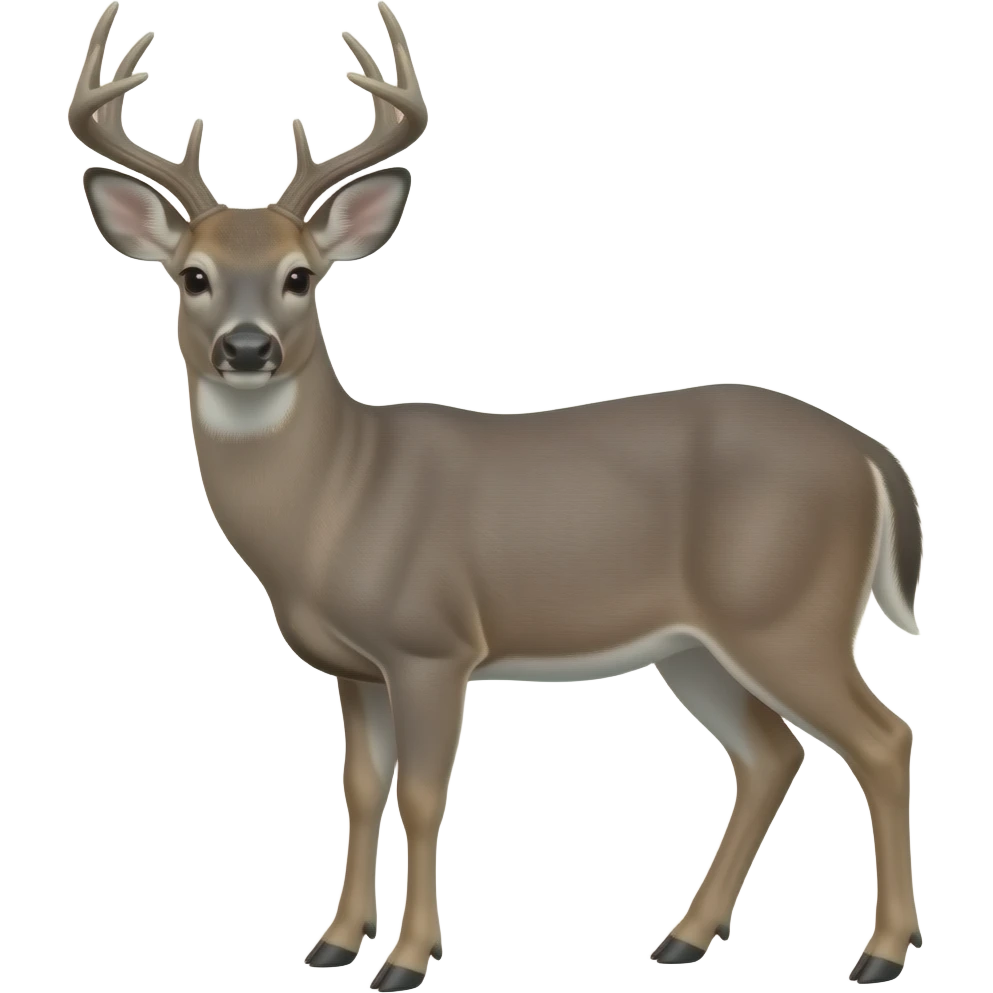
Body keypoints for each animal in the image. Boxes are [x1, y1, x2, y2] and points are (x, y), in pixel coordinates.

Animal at [70, 3, 925, 989]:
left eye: (300, 275)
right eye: (193, 275)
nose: (247, 348)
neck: (334, 501)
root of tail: (869, 453)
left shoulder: (431, 642)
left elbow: (421, 792)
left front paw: (406, 957)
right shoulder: (355, 666)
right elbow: (358, 786)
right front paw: (333, 940)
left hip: (788, 613)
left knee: (879, 737)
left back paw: (880, 951)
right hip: (696, 643)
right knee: (770, 752)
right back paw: (683, 936)